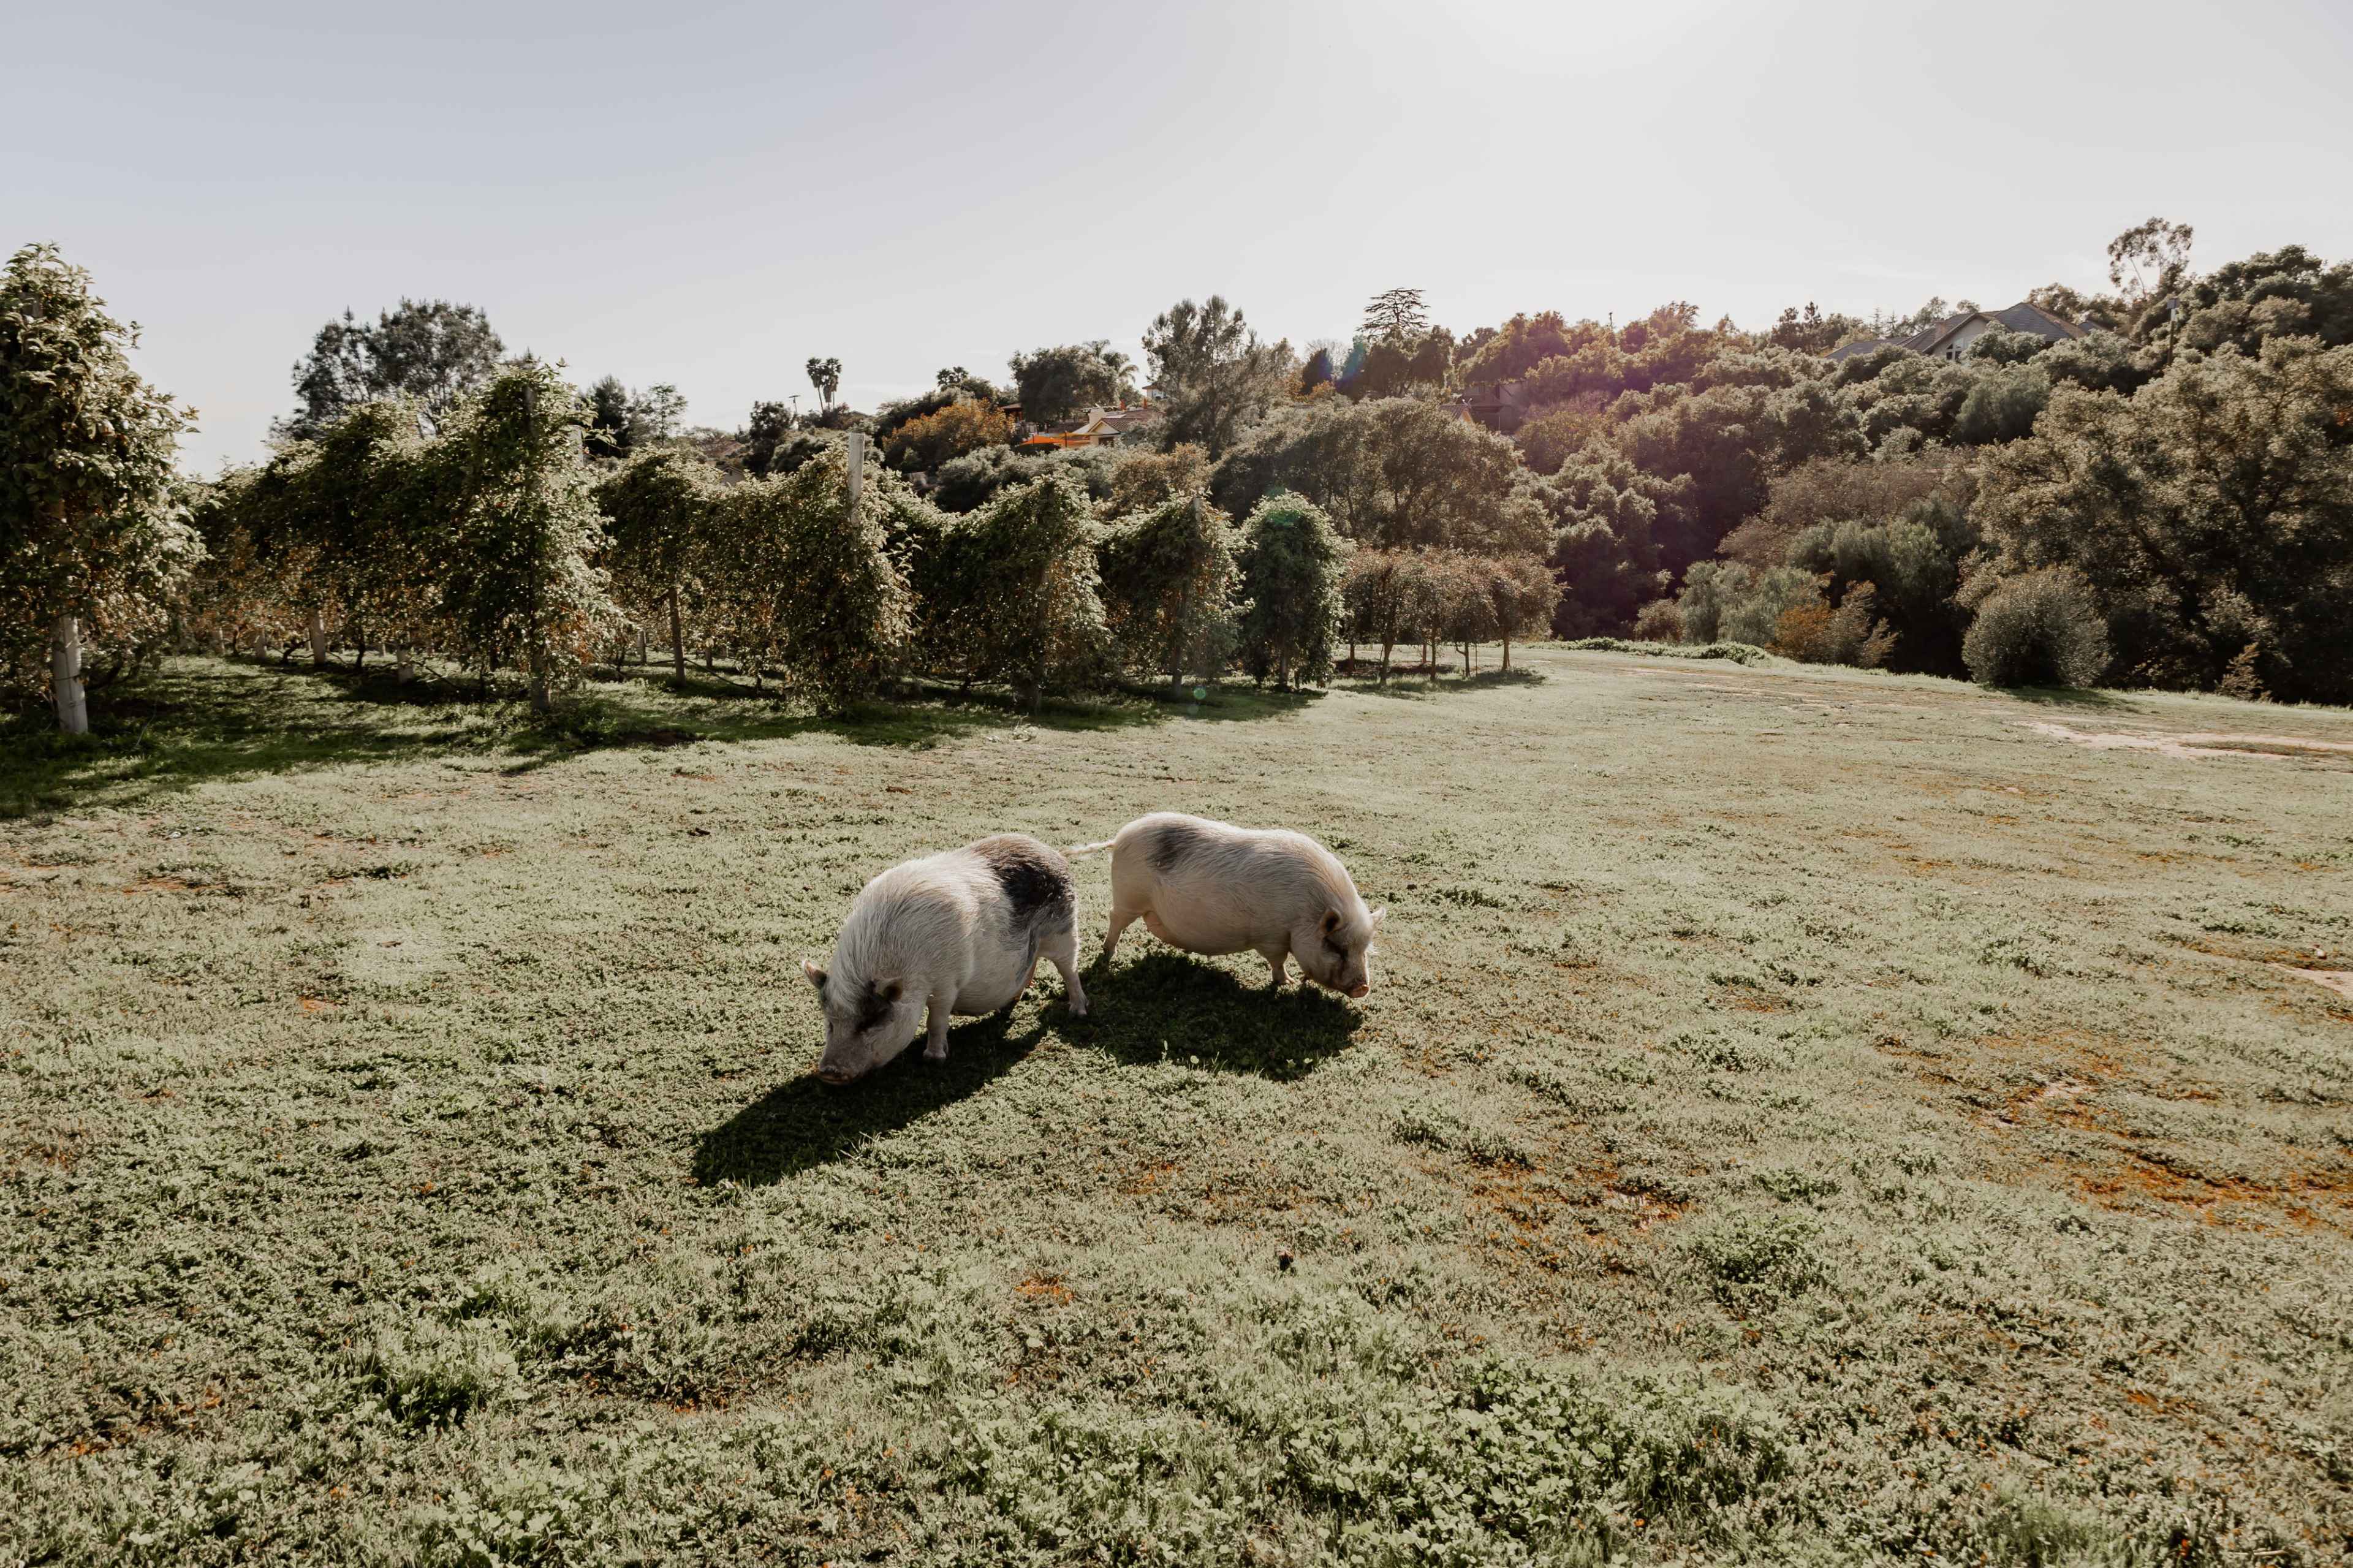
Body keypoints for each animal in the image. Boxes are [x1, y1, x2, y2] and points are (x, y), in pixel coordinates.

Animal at [802, 834, 1088, 1085]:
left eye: (869, 1022)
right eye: (830, 1022)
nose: (828, 1073)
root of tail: (1054, 853)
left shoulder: (947, 983)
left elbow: (936, 1020)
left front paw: (933, 1059)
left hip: (1064, 930)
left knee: (1070, 970)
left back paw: (1078, 1012)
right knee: (1030, 966)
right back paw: (1007, 1006)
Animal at [1074, 812, 1384, 998]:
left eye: (1364, 950)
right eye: (1336, 947)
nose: (1364, 988)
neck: (1304, 912)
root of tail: (1118, 839)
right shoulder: (1271, 937)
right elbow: (1278, 961)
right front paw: (1288, 983)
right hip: (1129, 896)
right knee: (1115, 919)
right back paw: (1108, 954)